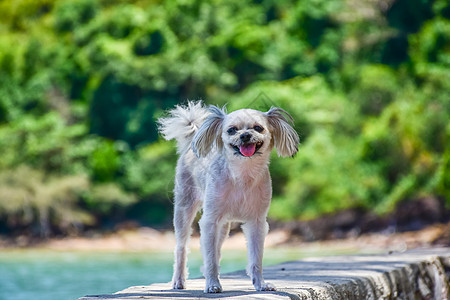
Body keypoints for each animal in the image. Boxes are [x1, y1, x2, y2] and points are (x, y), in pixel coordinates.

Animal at [158, 101, 298, 292]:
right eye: (232, 130)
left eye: (258, 128)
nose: (245, 135)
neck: (242, 174)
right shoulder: (209, 221)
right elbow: (209, 257)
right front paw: (212, 285)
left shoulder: (257, 223)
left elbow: (256, 258)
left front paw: (260, 284)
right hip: (183, 211)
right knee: (182, 248)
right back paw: (179, 280)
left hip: (224, 226)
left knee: (216, 250)